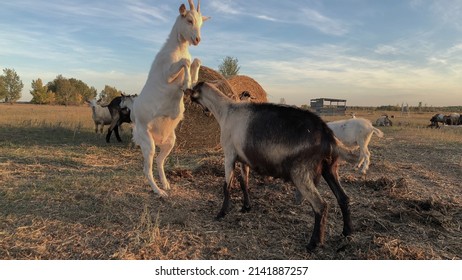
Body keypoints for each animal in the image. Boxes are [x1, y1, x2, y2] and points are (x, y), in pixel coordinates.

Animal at [130, 0, 209, 197]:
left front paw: (189, 83)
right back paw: (159, 191)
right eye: (189, 20)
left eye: (201, 23)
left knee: (160, 161)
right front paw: (186, 82)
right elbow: (185, 62)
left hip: (170, 142)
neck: (177, 49)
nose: (197, 40)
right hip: (147, 142)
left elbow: (196, 61)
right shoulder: (166, 75)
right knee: (147, 168)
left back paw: (166, 185)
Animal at [184, 81, 354, 252]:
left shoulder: (229, 155)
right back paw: (347, 233)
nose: (186, 94)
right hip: (330, 168)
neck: (225, 111)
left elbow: (227, 185)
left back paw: (314, 243)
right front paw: (246, 207)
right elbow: (244, 183)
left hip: (301, 173)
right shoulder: (243, 159)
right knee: (343, 198)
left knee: (321, 206)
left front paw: (222, 213)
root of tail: (328, 136)